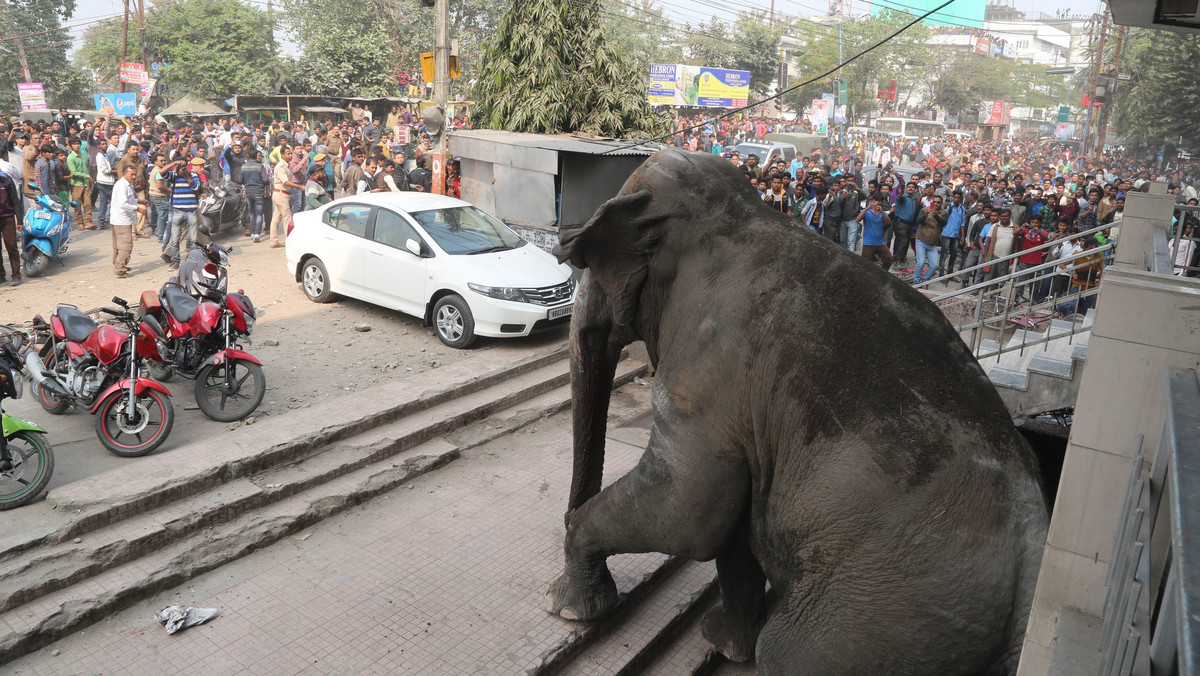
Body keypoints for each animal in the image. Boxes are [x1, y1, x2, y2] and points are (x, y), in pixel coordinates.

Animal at [544, 149, 1051, 676]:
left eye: (587, 265)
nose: (566, 513)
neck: (732, 214)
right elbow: (728, 526)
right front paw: (725, 642)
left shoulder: (710, 366)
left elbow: (688, 506)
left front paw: (568, 608)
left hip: (883, 610)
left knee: (787, 650)